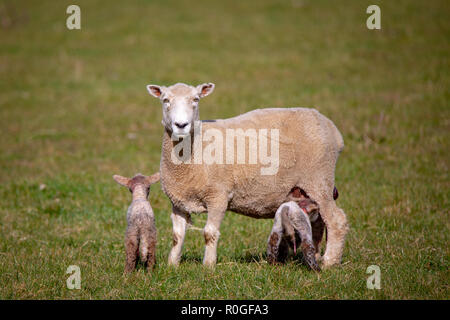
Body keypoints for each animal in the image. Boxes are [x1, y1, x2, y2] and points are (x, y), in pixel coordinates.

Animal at [147, 82, 348, 268]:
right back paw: (317, 255)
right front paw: (172, 265)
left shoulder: (218, 196)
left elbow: (209, 233)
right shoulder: (178, 200)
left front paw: (208, 266)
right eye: (165, 100)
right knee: (319, 222)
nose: (181, 125)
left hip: (319, 178)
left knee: (336, 220)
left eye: (196, 99)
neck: (194, 149)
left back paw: (329, 262)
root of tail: (333, 129)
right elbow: (177, 235)